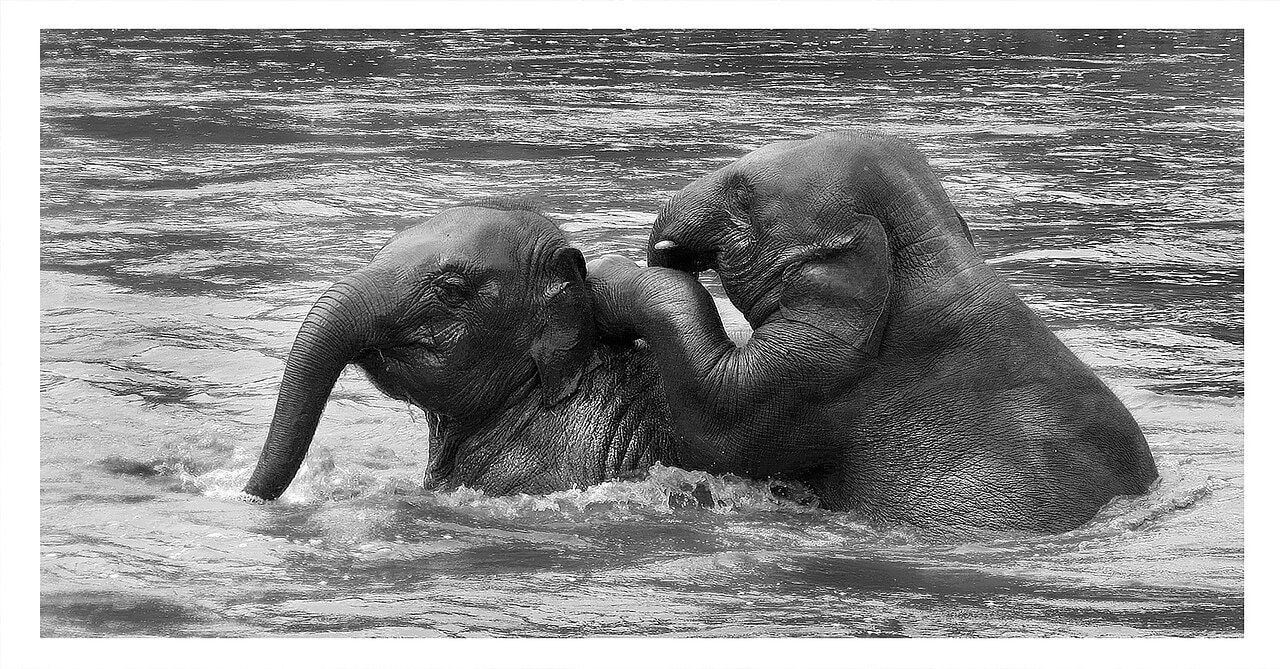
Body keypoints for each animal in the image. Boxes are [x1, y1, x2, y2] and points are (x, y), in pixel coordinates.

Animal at [587, 130, 1159, 536]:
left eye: (742, 195)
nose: (669, 247)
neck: (939, 252)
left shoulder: (827, 374)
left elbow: (713, 425)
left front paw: (605, 274)